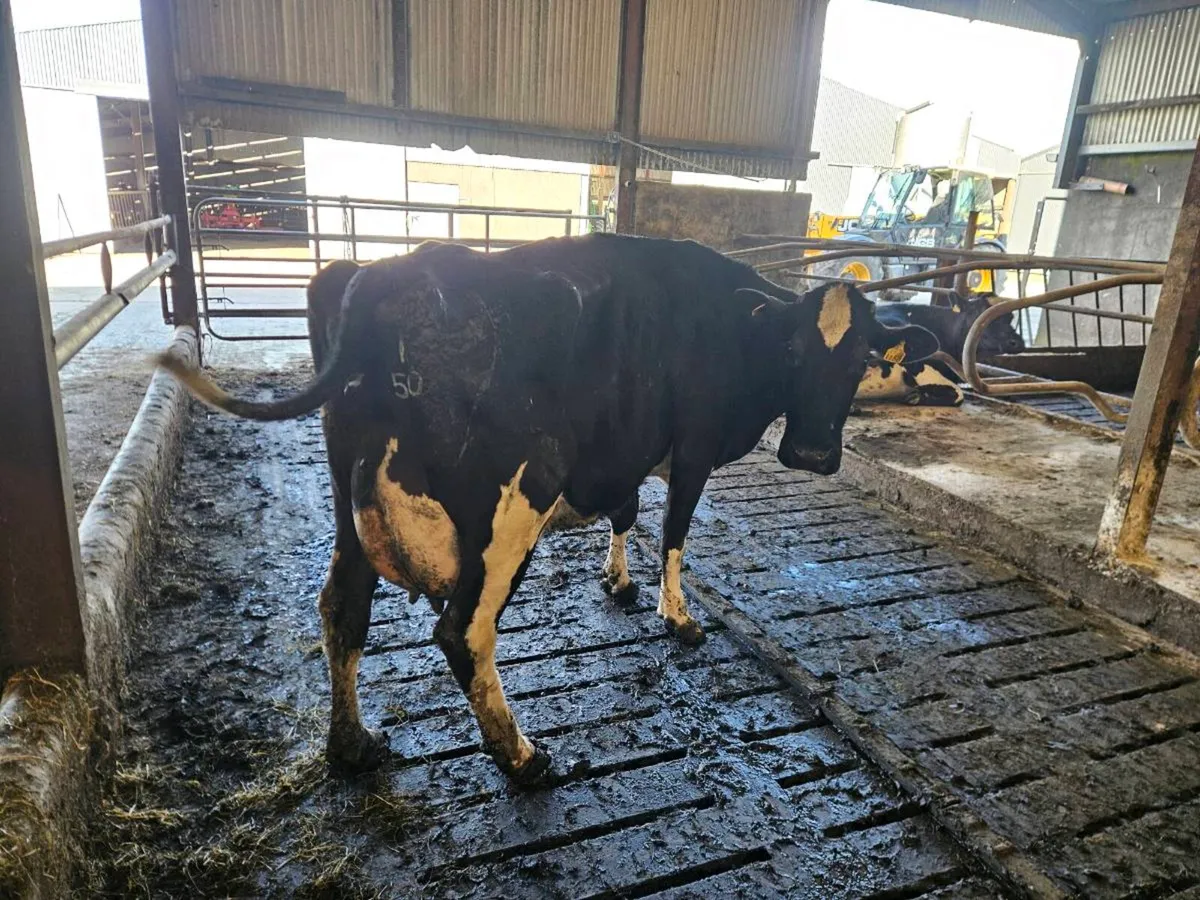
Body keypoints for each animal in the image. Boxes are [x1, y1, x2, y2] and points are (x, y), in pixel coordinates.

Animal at [156, 234, 938, 787]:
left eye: (863, 358)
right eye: (795, 350)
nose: (812, 453)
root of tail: (388, 274)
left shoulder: (623, 452)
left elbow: (627, 514)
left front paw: (617, 582)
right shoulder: (692, 447)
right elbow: (675, 531)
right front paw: (678, 617)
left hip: (350, 511)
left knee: (343, 610)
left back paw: (353, 746)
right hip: (511, 505)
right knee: (463, 632)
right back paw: (523, 757)